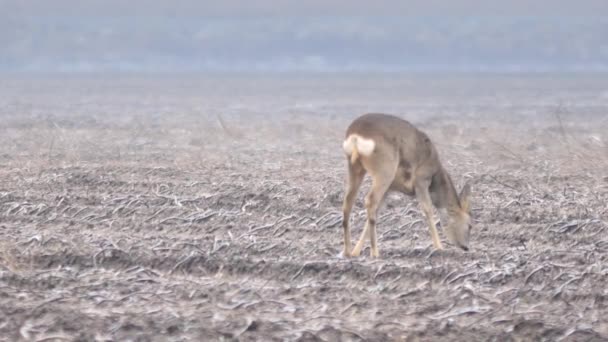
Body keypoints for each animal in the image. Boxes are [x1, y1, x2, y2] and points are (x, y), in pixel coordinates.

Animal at [340, 113, 472, 258]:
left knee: (348, 202)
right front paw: (439, 247)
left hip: (355, 168)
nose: (466, 247)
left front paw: (356, 251)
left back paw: (347, 251)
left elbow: (377, 212)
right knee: (370, 200)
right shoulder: (421, 180)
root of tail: (355, 136)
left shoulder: (390, 188)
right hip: (385, 169)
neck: (435, 174)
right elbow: (428, 210)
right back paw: (375, 252)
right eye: (470, 225)